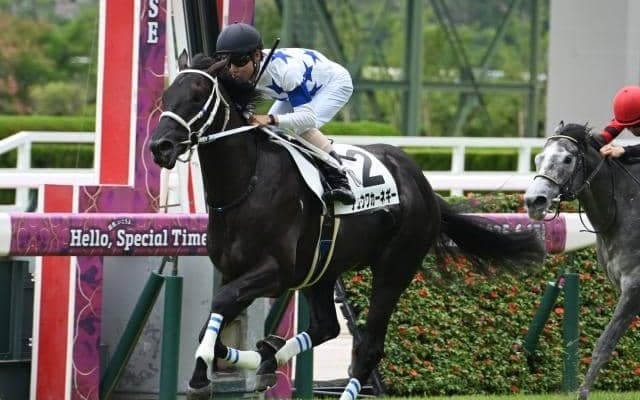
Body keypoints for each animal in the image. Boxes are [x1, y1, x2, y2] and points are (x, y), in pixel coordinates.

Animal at [149, 52, 546, 399]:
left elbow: (219, 309)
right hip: (321, 269)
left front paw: (201, 375)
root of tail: (423, 185)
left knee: (369, 348)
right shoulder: (235, 271)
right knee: (327, 326)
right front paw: (254, 358)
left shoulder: (274, 272)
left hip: (394, 268)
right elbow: (214, 327)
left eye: (197, 96)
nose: (160, 146)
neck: (248, 183)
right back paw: (270, 357)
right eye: (166, 95)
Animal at [524, 122, 640, 399]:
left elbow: (604, 344)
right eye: (538, 158)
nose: (534, 201)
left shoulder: (634, 287)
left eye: (567, 159)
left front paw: (582, 393)